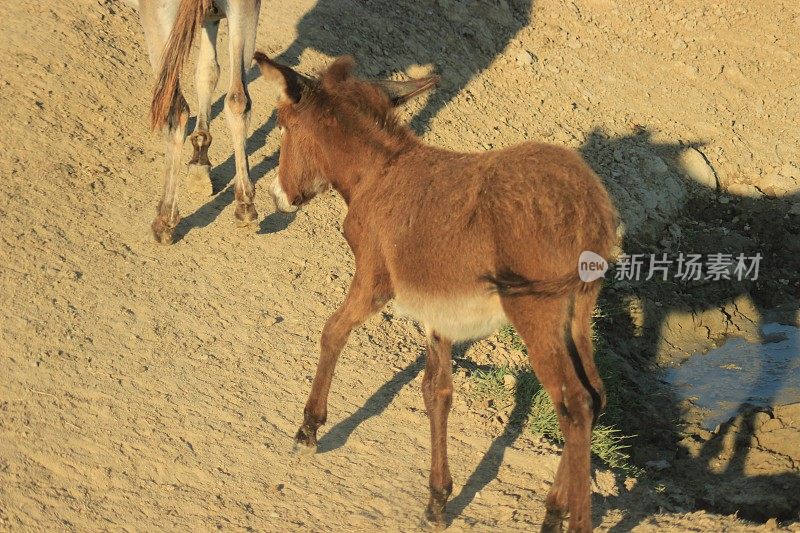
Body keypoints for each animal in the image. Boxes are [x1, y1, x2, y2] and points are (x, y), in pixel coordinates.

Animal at [253, 52, 616, 528]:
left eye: (282, 124)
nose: (278, 196)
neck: (379, 173)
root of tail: (590, 207)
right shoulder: (440, 311)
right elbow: (437, 391)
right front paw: (438, 500)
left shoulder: (373, 280)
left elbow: (333, 331)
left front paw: (308, 429)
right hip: (577, 314)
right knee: (594, 396)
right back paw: (556, 506)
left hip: (536, 313)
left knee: (572, 404)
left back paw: (563, 518)